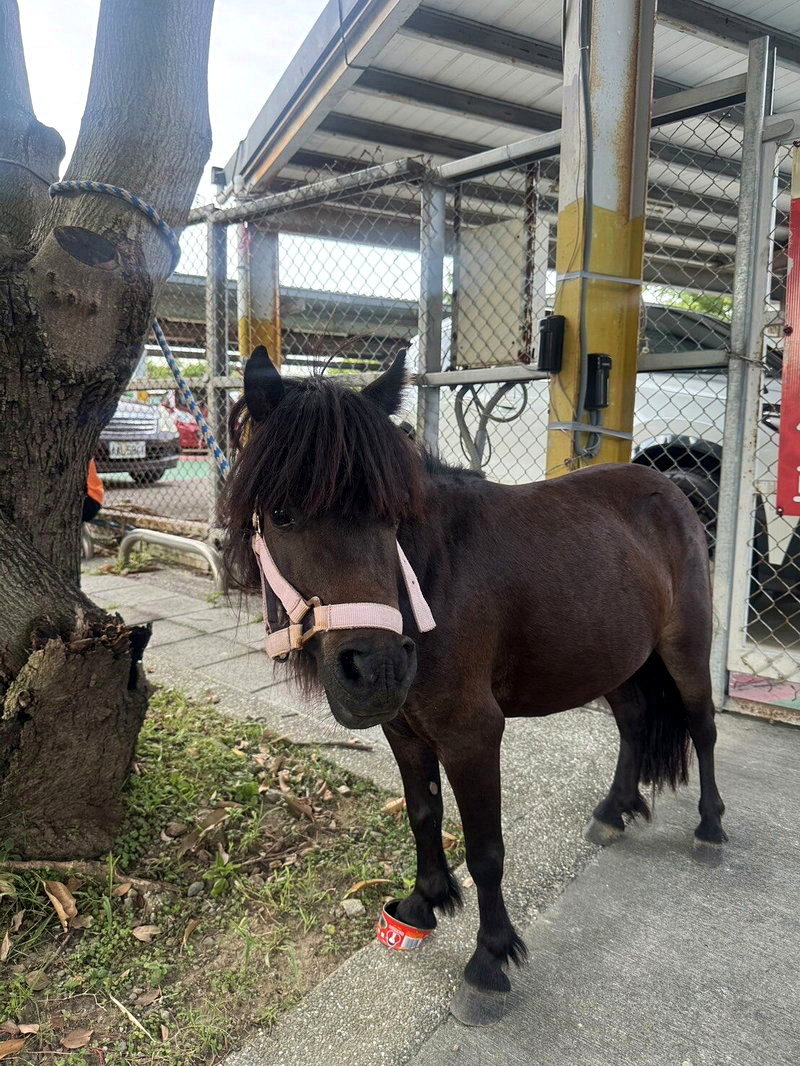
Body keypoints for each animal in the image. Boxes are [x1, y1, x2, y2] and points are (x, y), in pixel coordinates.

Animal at [221, 345, 726, 1026]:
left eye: (392, 516)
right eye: (282, 513)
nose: (378, 671)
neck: (433, 576)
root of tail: (673, 487)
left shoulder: (471, 734)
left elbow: (486, 848)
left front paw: (490, 959)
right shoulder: (404, 728)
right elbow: (422, 813)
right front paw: (424, 901)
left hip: (684, 647)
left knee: (702, 726)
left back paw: (710, 829)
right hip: (614, 661)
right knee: (636, 721)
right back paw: (613, 811)